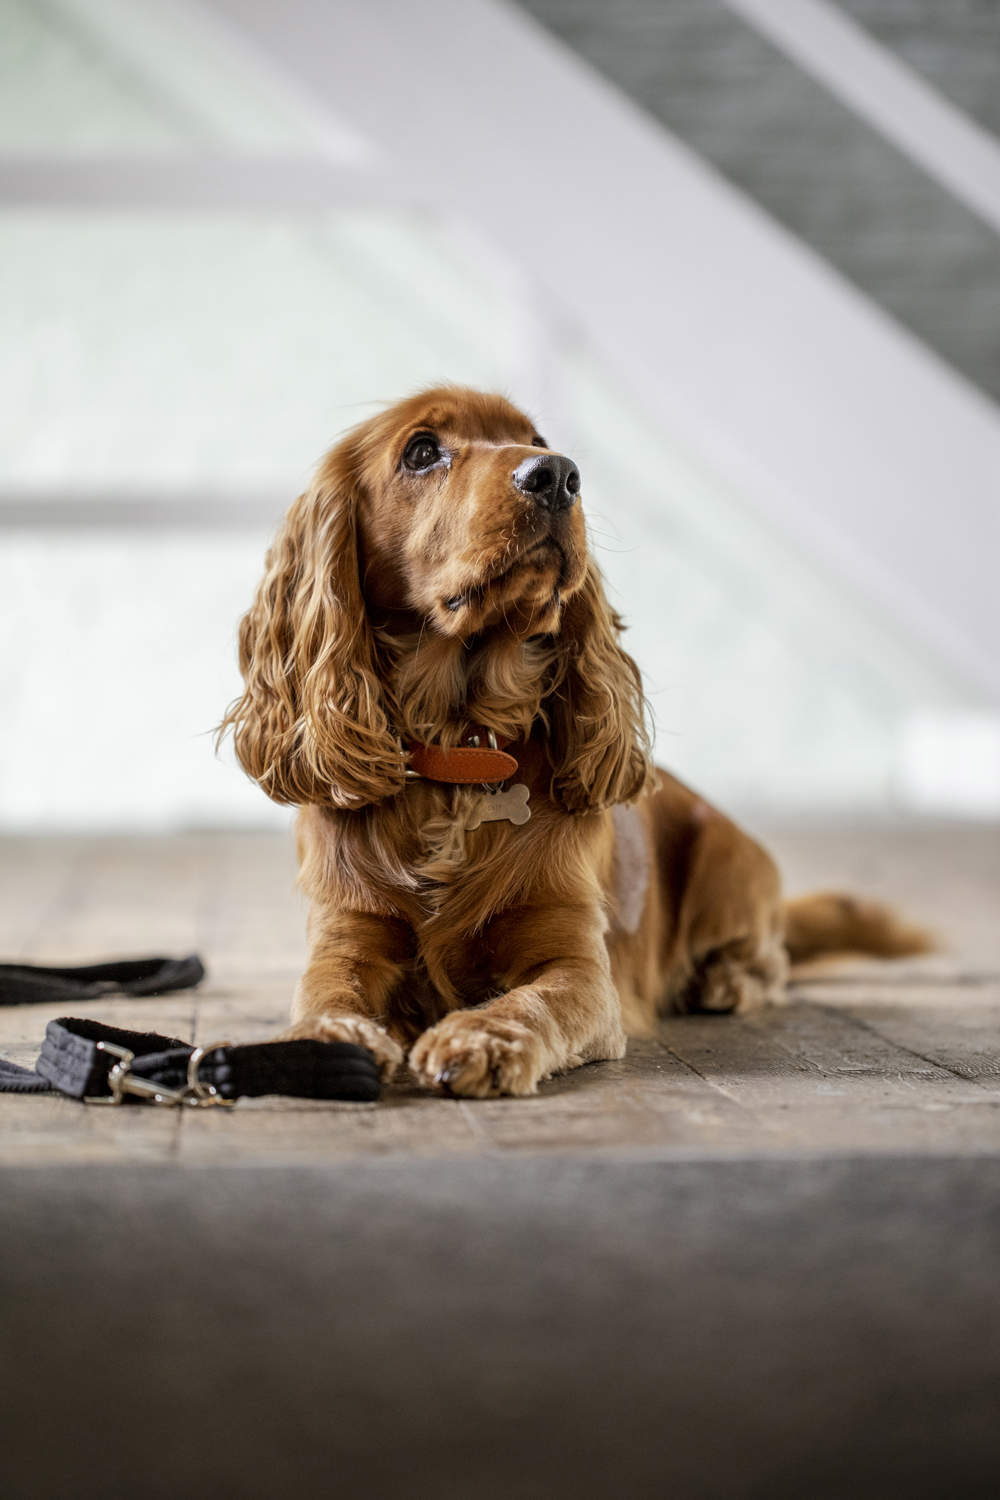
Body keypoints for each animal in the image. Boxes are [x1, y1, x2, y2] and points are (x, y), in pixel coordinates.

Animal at [220, 381, 929, 1098]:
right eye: (421, 452)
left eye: (535, 441)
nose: (558, 475)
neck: (461, 751)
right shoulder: (347, 934)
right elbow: (328, 992)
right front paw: (326, 1039)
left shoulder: (578, 965)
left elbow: (531, 1003)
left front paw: (480, 1037)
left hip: (727, 863)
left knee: (772, 962)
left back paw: (721, 980)